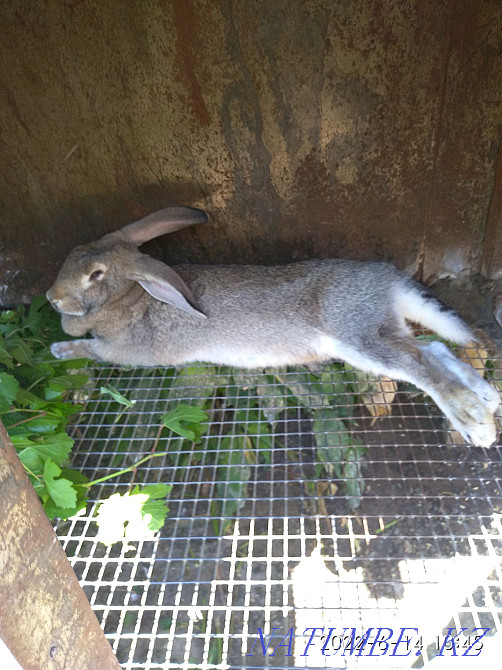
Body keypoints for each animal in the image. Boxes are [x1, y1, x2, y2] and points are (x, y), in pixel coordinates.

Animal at [46, 206, 500, 448]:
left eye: (95, 275)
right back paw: (486, 396)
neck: (134, 295)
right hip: (378, 332)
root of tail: (387, 281)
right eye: (71, 254)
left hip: (356, 336)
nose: (52, 298)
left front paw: (59, 350)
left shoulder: (125, 350)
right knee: (432, 350)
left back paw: (475, 422)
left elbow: (94, 349)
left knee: (420, 366)